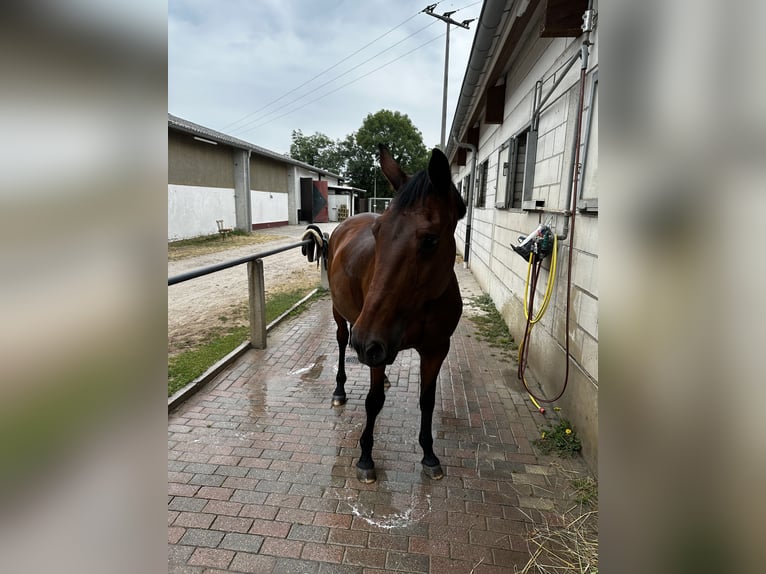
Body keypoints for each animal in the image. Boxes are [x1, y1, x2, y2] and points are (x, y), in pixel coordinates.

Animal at [326, 142, 464, 484]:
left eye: (430, 239)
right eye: (378, 232)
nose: (365, 342)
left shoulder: (436, 350)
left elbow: (427, 401)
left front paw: (429, 455)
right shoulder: (374, 344)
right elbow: (373, 402)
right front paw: (365, 458)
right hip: (341, 315)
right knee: (340, 341)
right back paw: (339, 389)